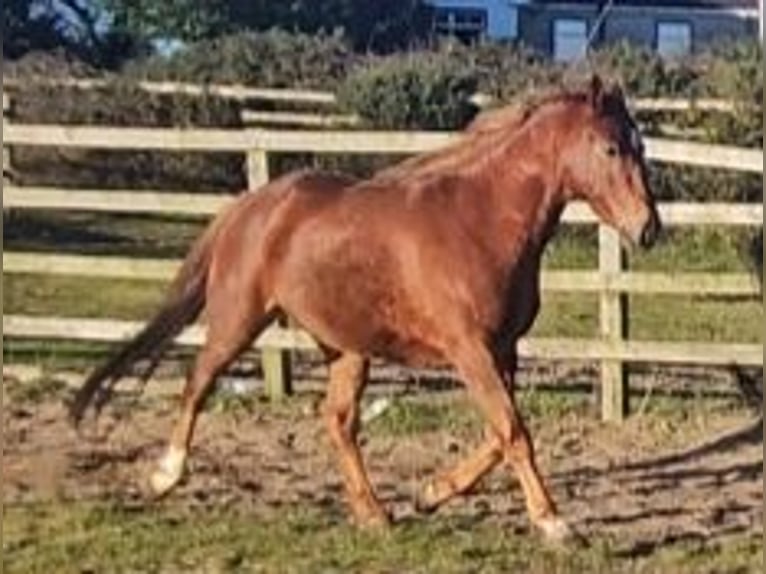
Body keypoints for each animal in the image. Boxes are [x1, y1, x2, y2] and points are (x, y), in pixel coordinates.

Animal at [70, 75, 660, 543]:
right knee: (198, 384)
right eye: (611, 149)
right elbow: (514, 432)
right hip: (238, 320)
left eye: (640, 146)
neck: (480, 221)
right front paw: (554, 523)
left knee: (337, 421)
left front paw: (429, 493)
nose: (648, 229)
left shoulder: (502, 351)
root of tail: (249, 207)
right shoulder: (469, 350)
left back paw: (374, 514)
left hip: (346, 347)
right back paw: (164, 477)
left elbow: (499, 435)